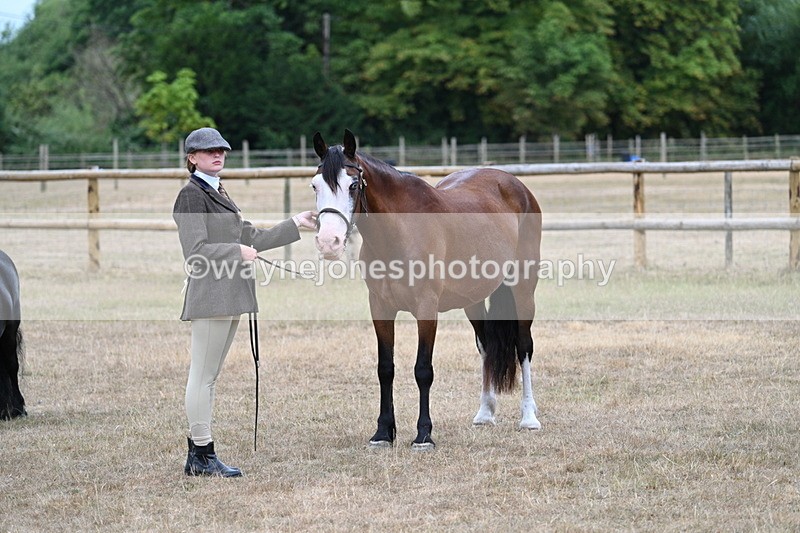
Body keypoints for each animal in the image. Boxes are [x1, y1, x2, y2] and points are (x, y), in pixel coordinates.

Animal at [311, 130, 542, 449]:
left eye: (353, 184)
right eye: (315, 185)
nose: (328, 242)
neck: (399, 232)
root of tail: (516, 186)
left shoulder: (426, 308)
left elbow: (423, 370)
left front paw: (424, 435)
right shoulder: (380, 307)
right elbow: (385, 368)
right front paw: (383, 432)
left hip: (523, 289)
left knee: (524, 347)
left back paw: (529, 418)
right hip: (473, 299)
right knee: (486, 346)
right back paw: (485, 412)